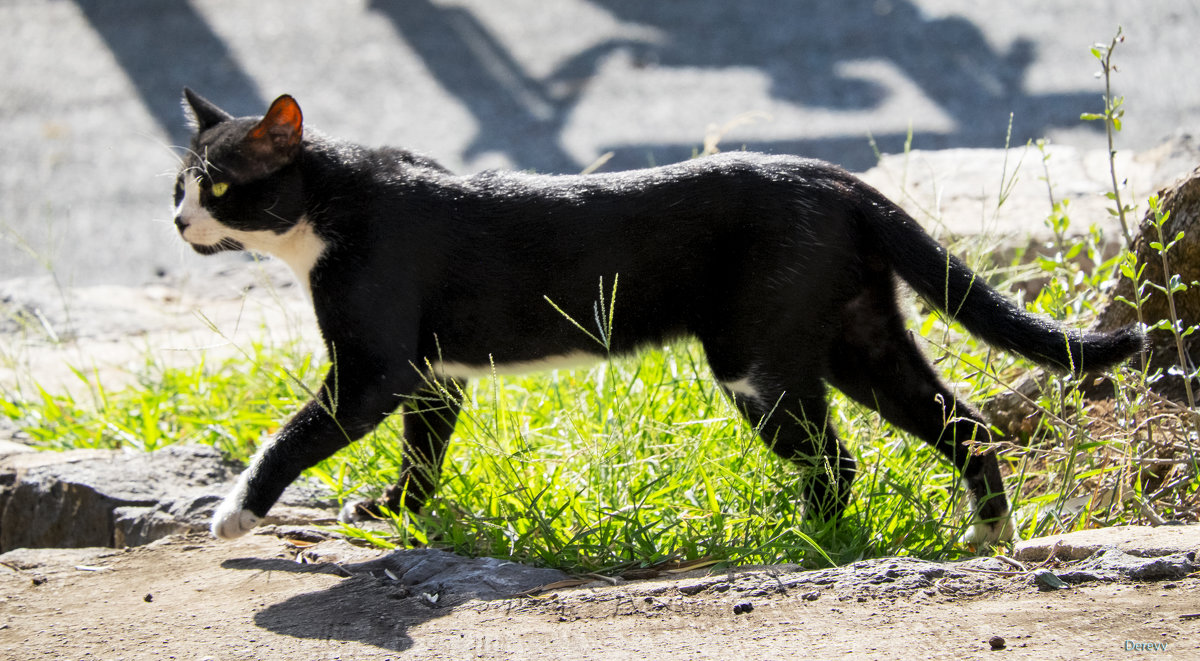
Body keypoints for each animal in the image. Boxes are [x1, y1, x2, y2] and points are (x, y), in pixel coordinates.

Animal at [174, 90, 1137, 544]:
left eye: (216, 187)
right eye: (175, 185)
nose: (179, 223)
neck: (330, 211)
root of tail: (835, 176)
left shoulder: (372, 367)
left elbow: (293, 433)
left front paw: (233, 515)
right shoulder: (431, 374)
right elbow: (423, 451)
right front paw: (392, 511)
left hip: (757, 358)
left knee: (839, 458)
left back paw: (808, 534)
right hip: (855, 333)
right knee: (962, 422)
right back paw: (988, 534)